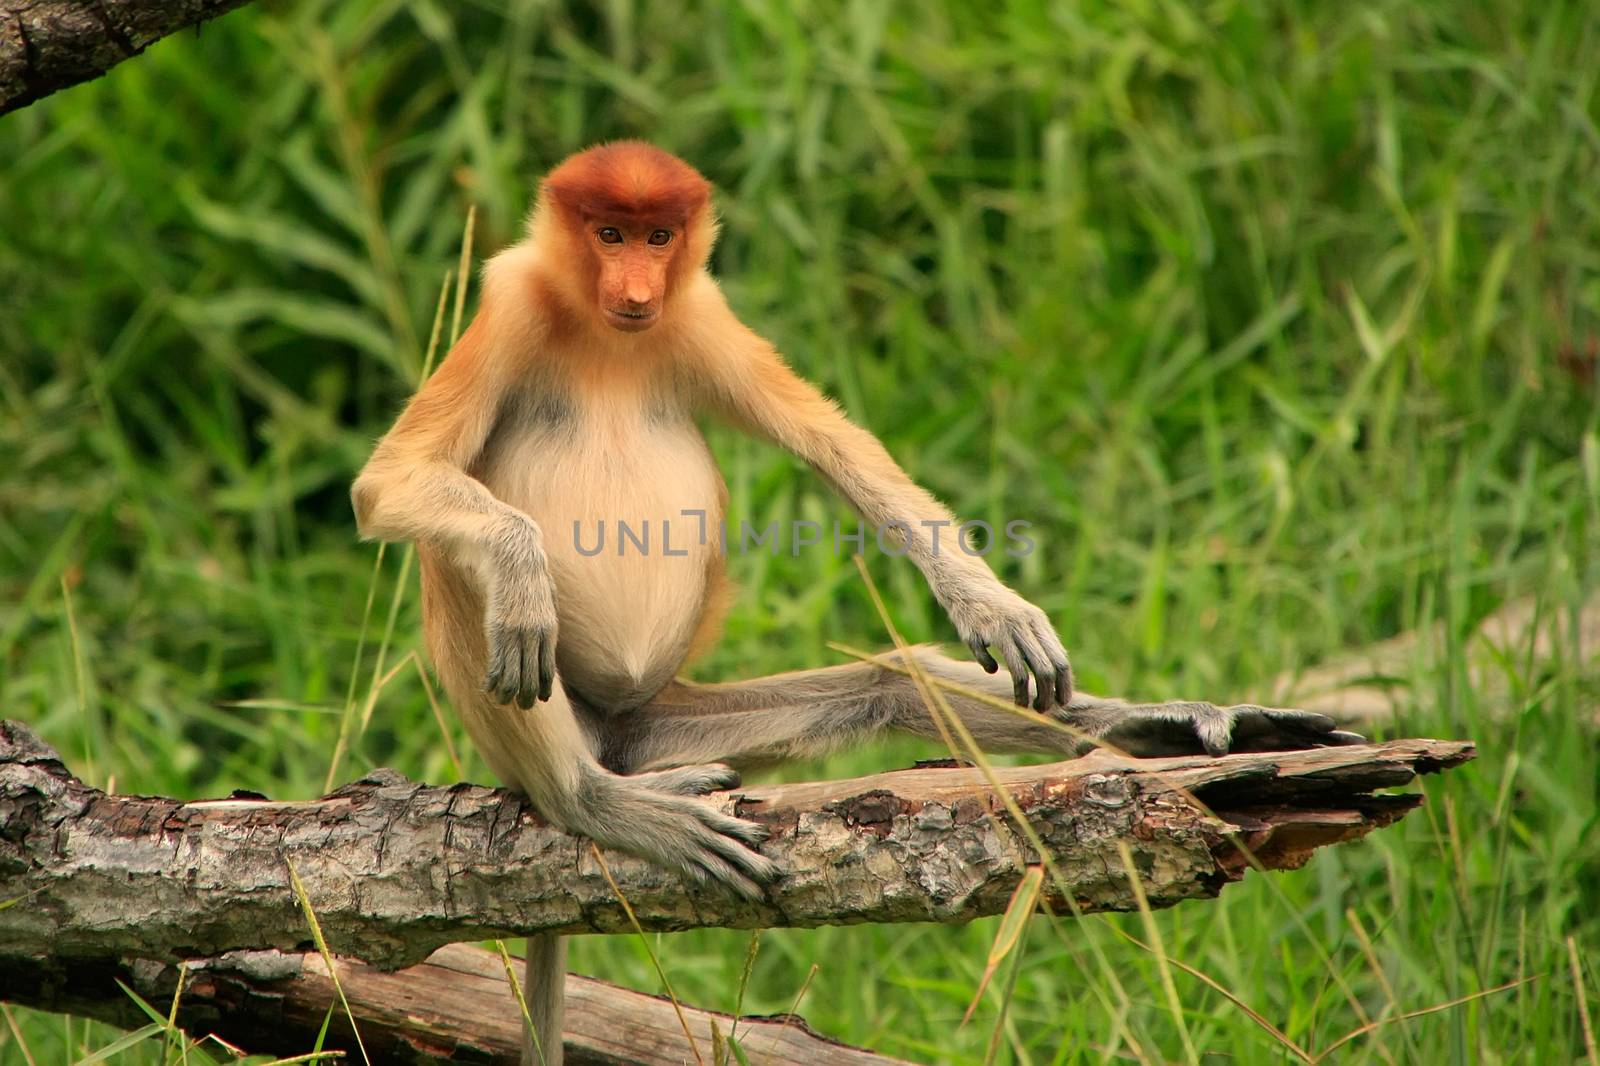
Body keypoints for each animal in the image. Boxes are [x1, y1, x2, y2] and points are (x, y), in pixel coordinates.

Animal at [353, 143, 1363, 1062]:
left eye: (656, 237)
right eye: (607, 235)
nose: (636, 285)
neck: (609, 339)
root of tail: (610, 732)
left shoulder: (702, 316)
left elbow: (838, 447)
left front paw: (993, 607)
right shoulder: (511, 306)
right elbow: (388, 485)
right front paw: (522, 574)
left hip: (660, 728)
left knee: (893, 683)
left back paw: (1153, 728)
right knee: (464, 570)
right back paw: (590, 796)